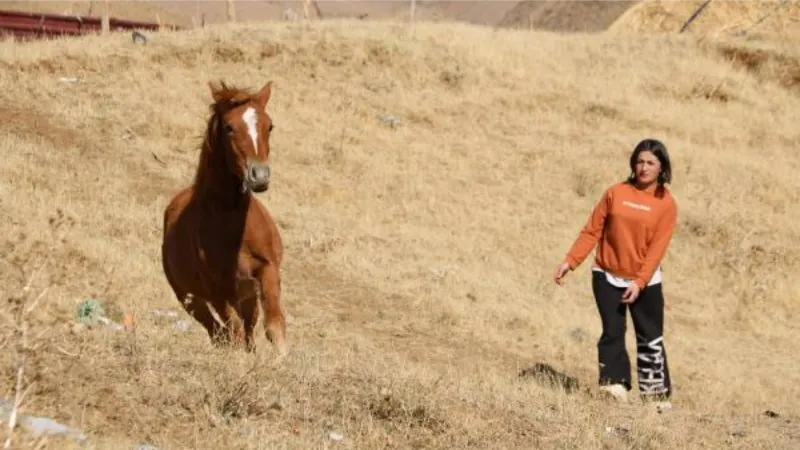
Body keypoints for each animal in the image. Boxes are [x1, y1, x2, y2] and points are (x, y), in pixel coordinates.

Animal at [161, 80, 286, 356]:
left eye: (269, 125)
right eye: (229, 127)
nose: (259, 175)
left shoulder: (267, 269)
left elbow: (274, 325)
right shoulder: (218, 289)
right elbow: (234, 331)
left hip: (247, 295)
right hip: (192, 301)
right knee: (219, 332)